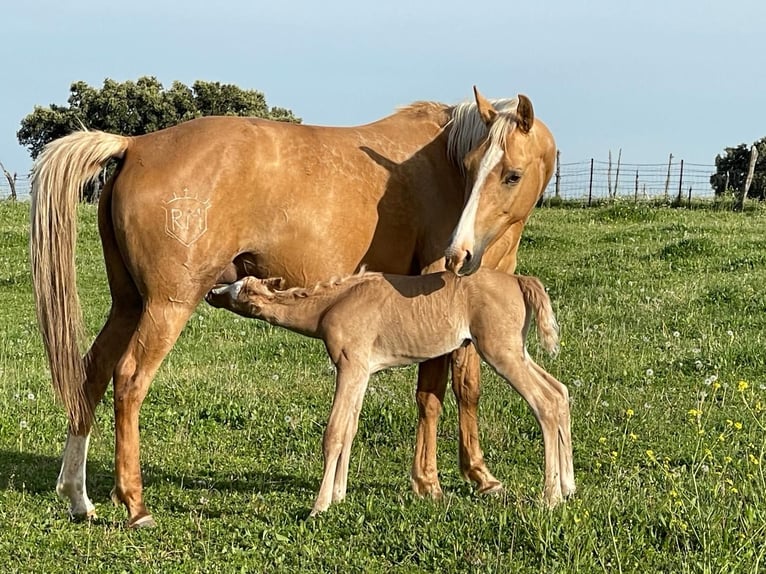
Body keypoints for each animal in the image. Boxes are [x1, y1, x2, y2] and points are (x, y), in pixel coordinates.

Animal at [206, 270, 576, 516]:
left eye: (238, 289)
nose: (211, 291)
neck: (331, 305)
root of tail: (520, 281)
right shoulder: (361, 372)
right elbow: (351, 429)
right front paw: (339, 495)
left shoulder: (350, 366)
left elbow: (334, 432)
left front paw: (319, 506)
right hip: (516, 351)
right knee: (559, 392)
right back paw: (568, 487)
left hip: (501, 352)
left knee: (544, 402)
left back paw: (550, 497)